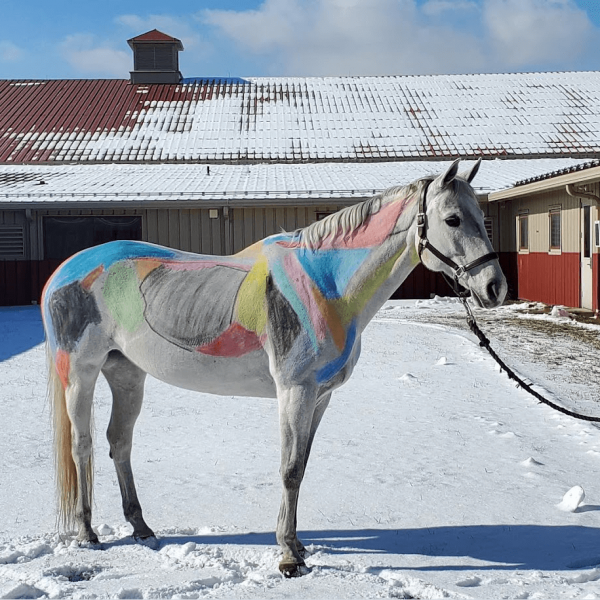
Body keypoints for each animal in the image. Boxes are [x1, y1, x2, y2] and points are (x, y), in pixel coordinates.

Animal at [41, 158, 506, 576]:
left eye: (481, 217)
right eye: (452, 219)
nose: (494, 288)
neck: (326, 285)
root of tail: (62, 272)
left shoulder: (320, 397)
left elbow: (301, 466)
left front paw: (297, 545)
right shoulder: (294, 391)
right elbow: (288, 469)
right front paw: (287, 557)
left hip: (126, 374)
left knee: (119, 442)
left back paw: (141, 527)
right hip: (81, 373)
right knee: (82, 445)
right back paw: (87, 533)